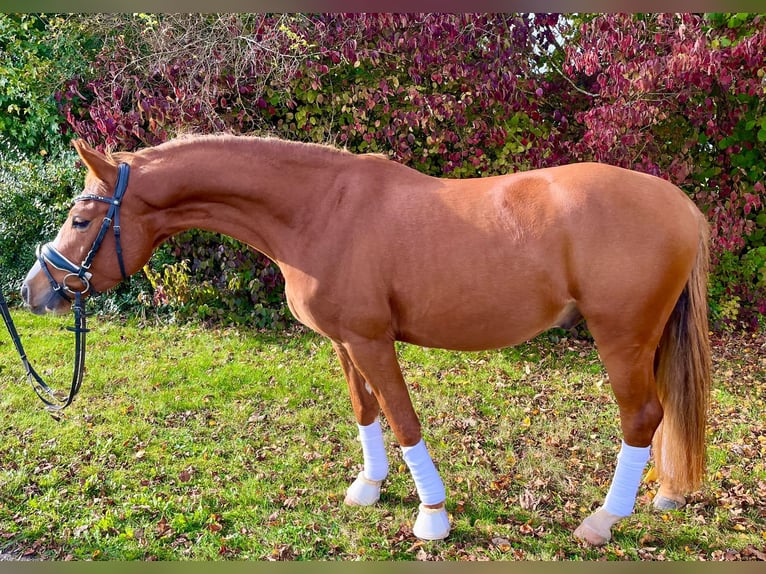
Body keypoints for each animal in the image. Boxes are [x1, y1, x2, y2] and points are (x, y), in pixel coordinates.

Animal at [19, 137, 712, 548]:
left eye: (81, 218)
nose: (34, 290)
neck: (321, 209)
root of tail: (681, 204)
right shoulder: (345, 341)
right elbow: (366, 412)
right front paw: (369, 487)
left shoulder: (374, 341)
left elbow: (404, 420)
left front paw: (432, 516)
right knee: (663, 413)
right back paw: (665, 495)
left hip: (621, 337)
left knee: (641, 416)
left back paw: (603, 521)